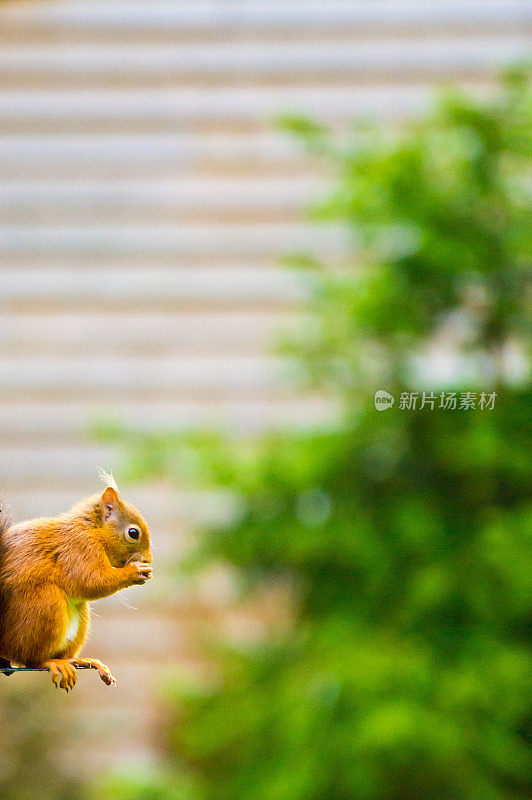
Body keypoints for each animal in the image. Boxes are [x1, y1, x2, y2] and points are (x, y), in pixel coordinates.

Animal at [0, 472, 152, 692]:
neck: (92, 530)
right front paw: (134, 571)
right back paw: (52, 663)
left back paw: (82, 661)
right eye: (133, 533)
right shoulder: (79, 548)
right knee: (30, 660)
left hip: (79, 616)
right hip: (44, 603)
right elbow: (91, 581)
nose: (148, 560)